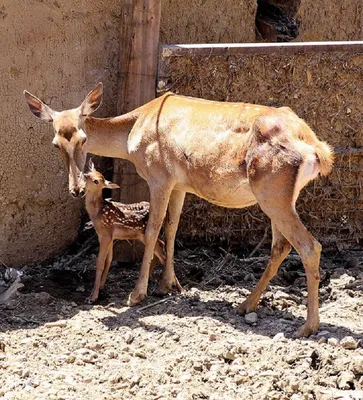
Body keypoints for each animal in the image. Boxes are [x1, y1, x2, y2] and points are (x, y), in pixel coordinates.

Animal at [24, 83, 334, 336]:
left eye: (83, 139)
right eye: (56, 143)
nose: (75, 189)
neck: (132, 135)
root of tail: (319, 151)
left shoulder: (159, 175)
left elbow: (153, 229)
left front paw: (137, 294)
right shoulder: (180, 183)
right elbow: (172, 227)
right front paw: (168, 285)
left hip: (273, 193)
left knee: (309, 246)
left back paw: (308, 326)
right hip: (278, 197)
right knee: (281, 246)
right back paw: (245, 305)